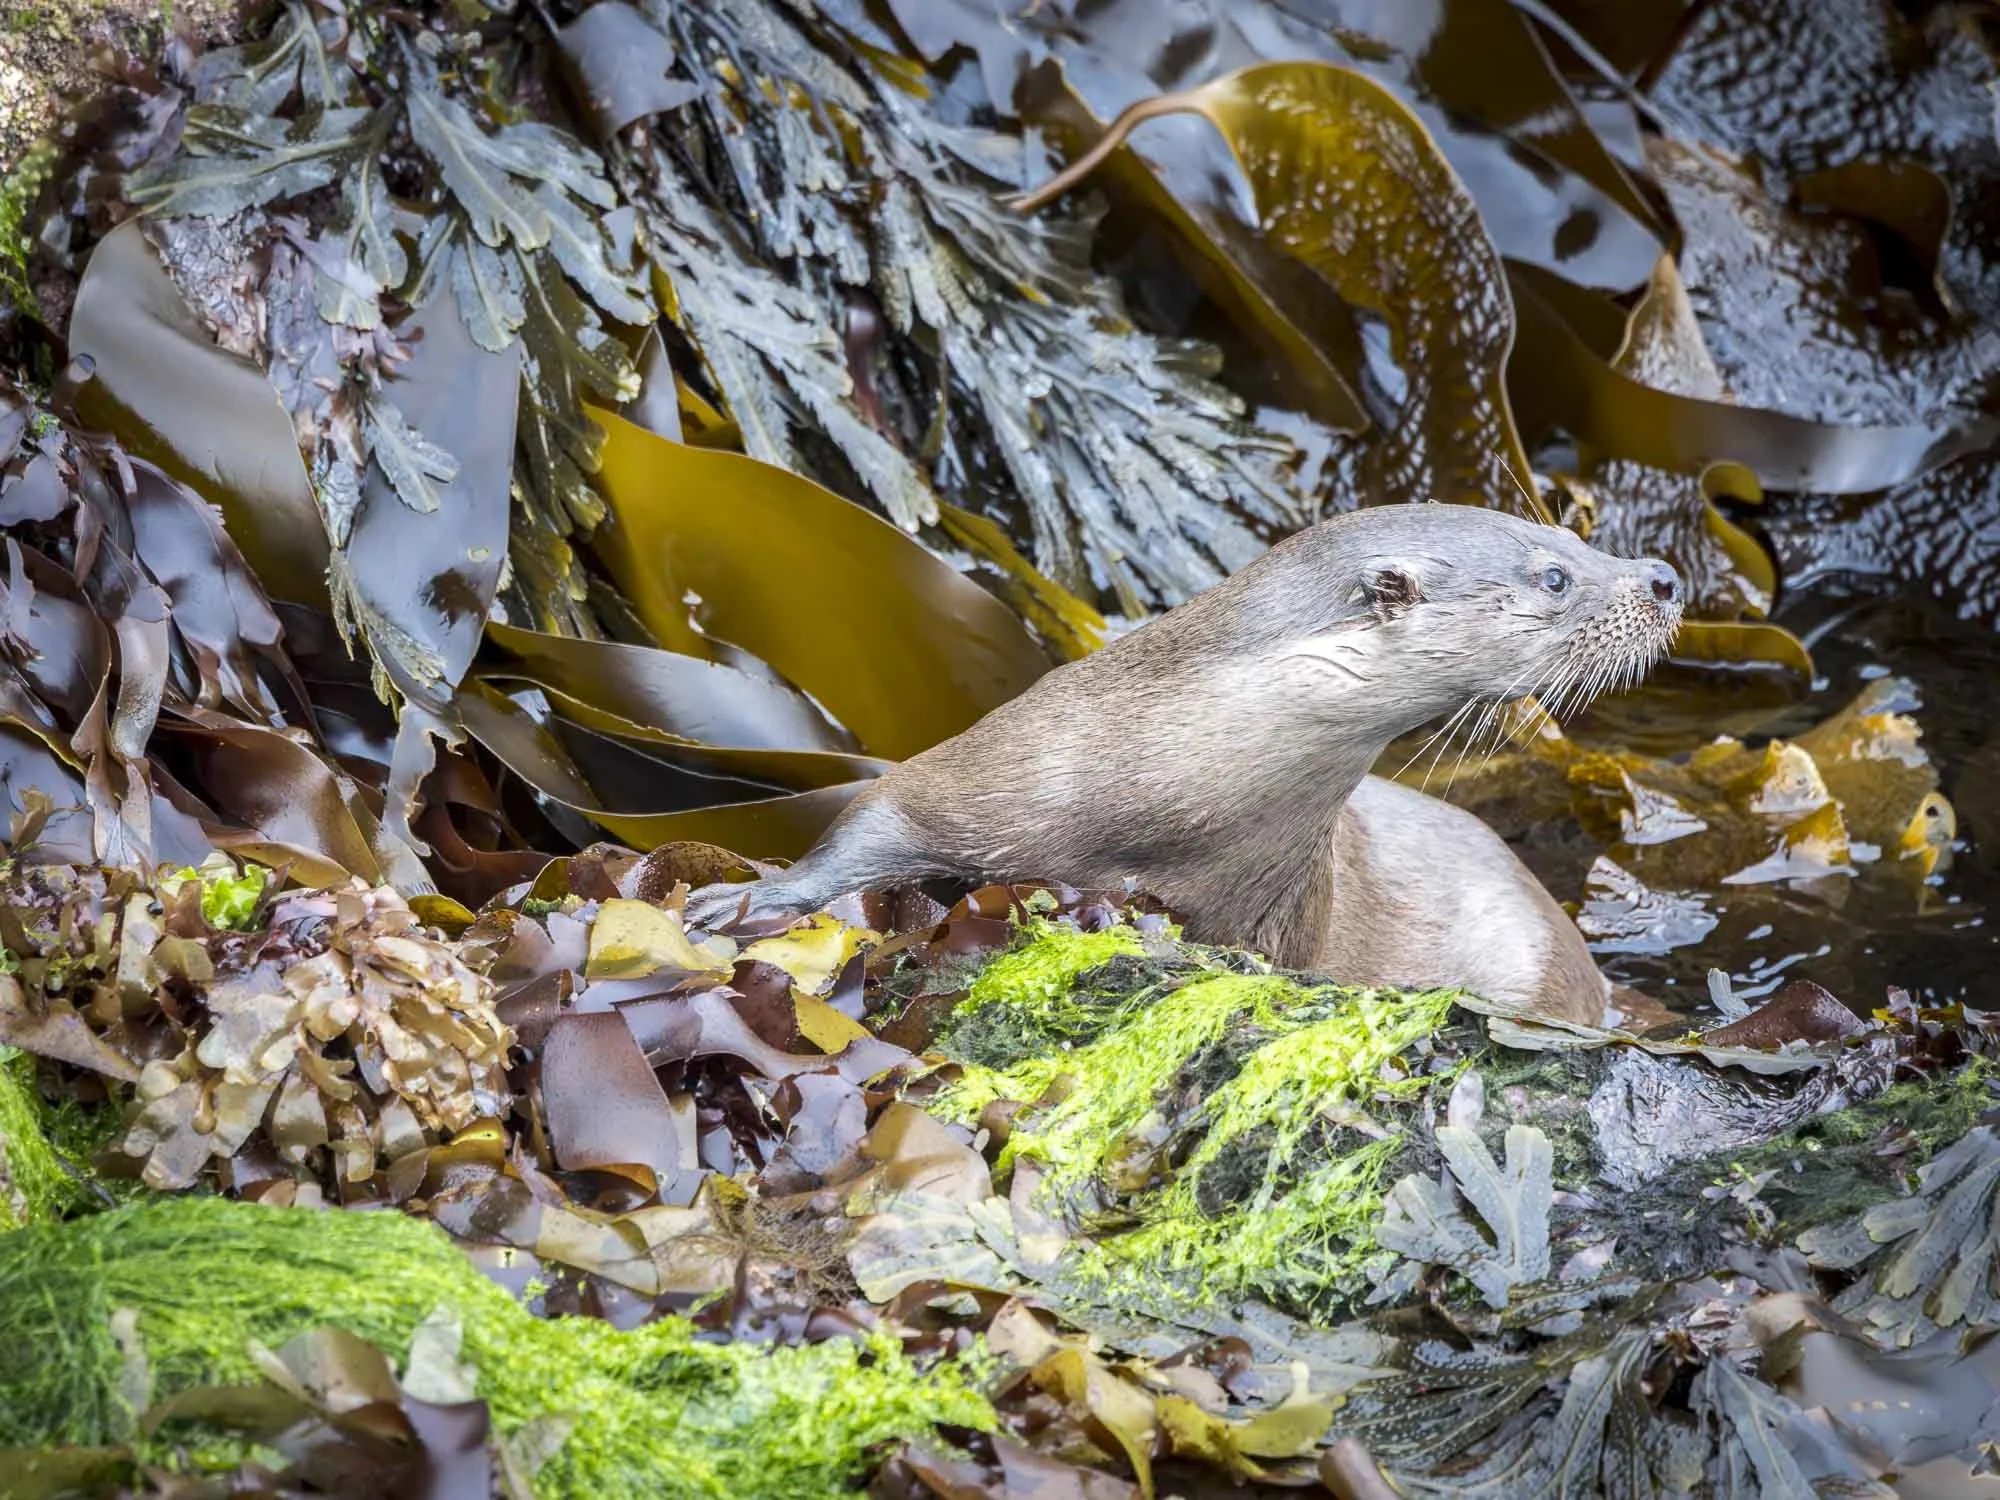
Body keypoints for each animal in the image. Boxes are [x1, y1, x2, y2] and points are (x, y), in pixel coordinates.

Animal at [686, 505, 1683, 1024]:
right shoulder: (988, 767)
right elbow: (872, 820)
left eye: (1584, 539)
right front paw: (739, 903)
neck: (1172, 779)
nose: (1666, 577)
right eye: (1555, 572)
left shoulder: (1280, 919)